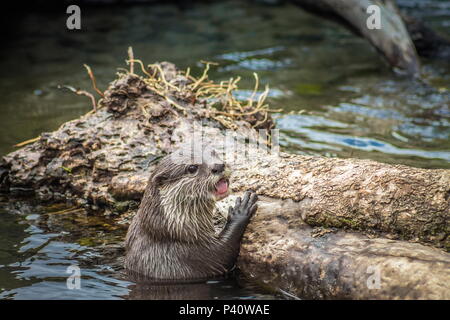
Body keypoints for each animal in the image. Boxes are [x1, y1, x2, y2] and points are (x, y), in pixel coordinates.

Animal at [124, 145, 256, 280]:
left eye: (213, 153)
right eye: (192, 168)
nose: (219, 166)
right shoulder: (195, 254)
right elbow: (224, 253)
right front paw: (240, 211)